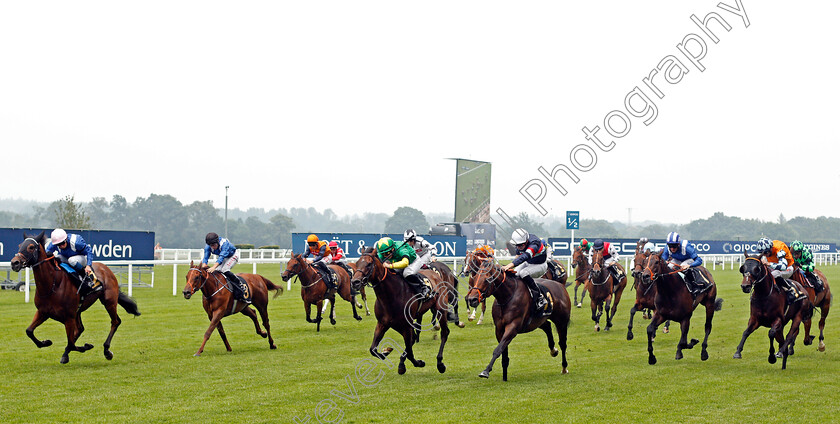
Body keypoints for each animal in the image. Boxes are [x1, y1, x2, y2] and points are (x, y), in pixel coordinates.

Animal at [9, 232, 139, 364]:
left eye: (31, 247)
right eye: (20, 245)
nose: (14, 263)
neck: (52, 285)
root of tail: (105, 268)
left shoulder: (68, 317)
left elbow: (71, 343)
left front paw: (86, 346)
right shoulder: (43, 312)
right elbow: (29, 331)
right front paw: (46, 342)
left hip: (109, 301)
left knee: (115, 321)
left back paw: (107, 351)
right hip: (79, 311)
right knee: (80, 329)